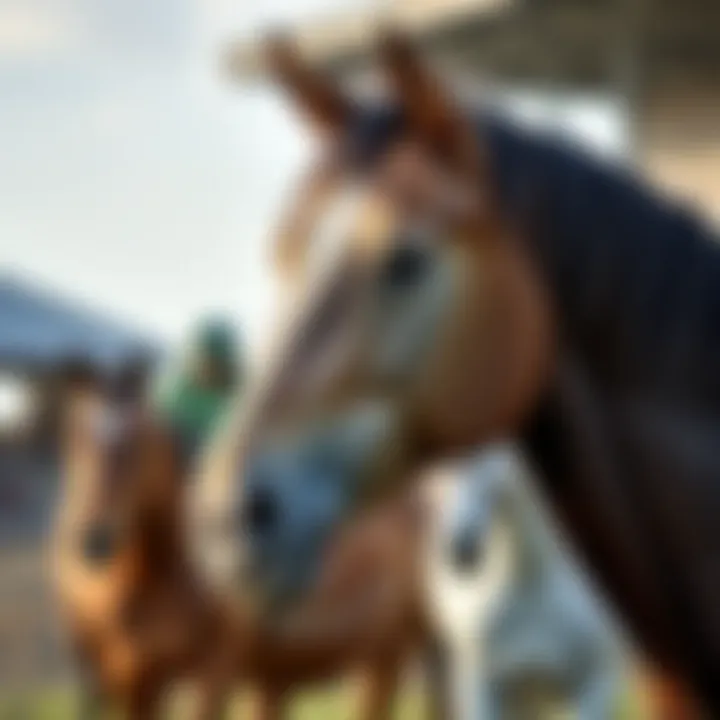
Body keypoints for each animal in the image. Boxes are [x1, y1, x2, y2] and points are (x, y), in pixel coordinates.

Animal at [51, 363, 443, 719]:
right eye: (73, 442)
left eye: (139, 444)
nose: (93, 537)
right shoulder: (132, 682)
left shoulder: (212, 672)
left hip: (391, 656)